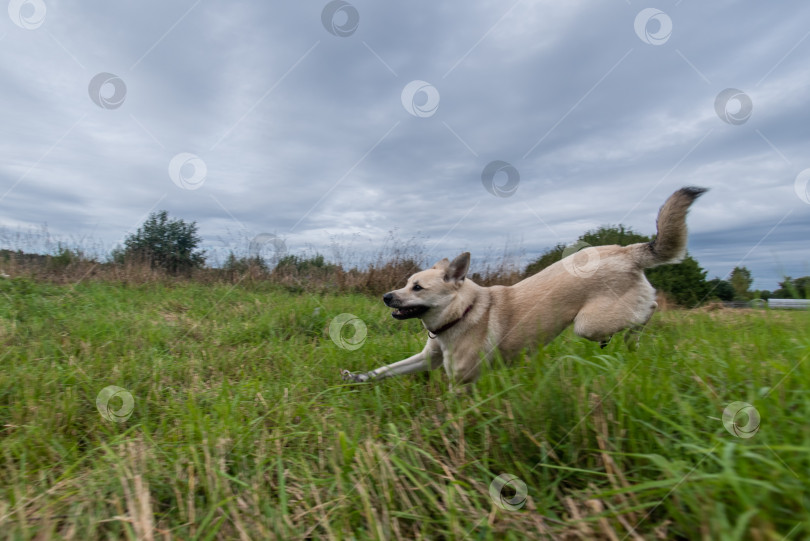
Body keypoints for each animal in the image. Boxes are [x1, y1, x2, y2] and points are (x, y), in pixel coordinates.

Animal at [338, 186, 704, 384]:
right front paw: (358, 378)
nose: (386, 296)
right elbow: (385, 370)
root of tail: (627, 250)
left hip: (588, 324)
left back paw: (633, 334)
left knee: (648, 308)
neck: (461, 313)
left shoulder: (462, 379)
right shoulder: (425, 359)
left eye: (417, 288)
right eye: (405, 283)